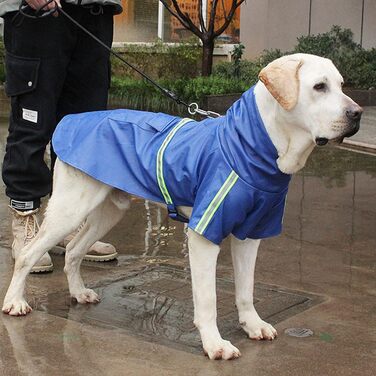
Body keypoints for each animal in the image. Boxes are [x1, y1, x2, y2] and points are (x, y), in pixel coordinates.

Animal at [2, 54, 362, 360]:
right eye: (319, 87)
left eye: (342, 85)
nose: (357, 114)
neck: (253, 147)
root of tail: (71, 121)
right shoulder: (204, 234)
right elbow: (208, 299)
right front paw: (214, 344)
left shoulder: (251, 234)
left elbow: (246, 289)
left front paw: (252, 324)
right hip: (70, 208)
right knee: (29, 254)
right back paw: (15, 301)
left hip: (108, 210)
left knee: (75, 250)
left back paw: (78, 292)